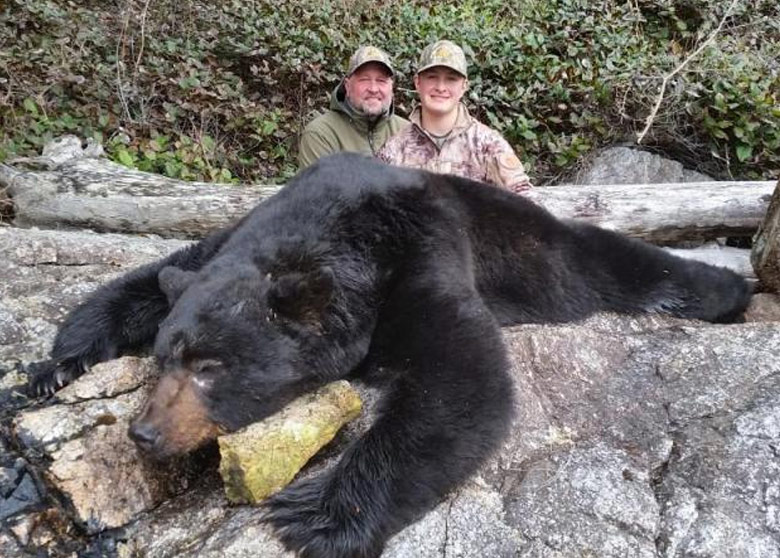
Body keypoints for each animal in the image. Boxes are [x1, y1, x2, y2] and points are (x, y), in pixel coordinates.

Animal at [28, 153, 751, 558]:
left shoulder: (419, 249)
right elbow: (155, 275)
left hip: (538, 247)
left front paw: (313, 513)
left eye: (211, 368)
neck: (337, 232)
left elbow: (464, 379)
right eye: (164, 360)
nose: (145, 433)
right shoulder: (234, 241)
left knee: (612, 260)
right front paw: (54, 364)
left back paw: (731, 289)